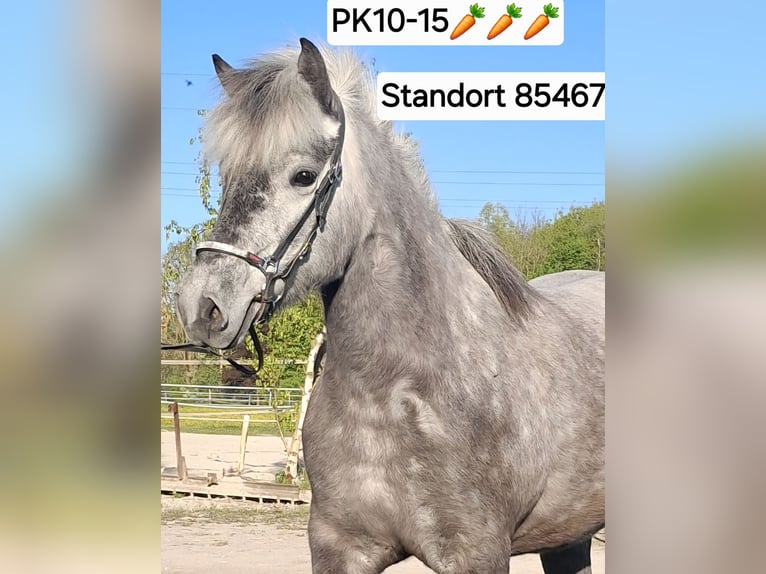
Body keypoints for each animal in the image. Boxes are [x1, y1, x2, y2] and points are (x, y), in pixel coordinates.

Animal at [174, 38, 604, 574]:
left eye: (303, 176)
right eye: (226, 175)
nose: (201, 305)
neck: (394, 391)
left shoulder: (478, 553)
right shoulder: (339, 547)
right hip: (568, 534)